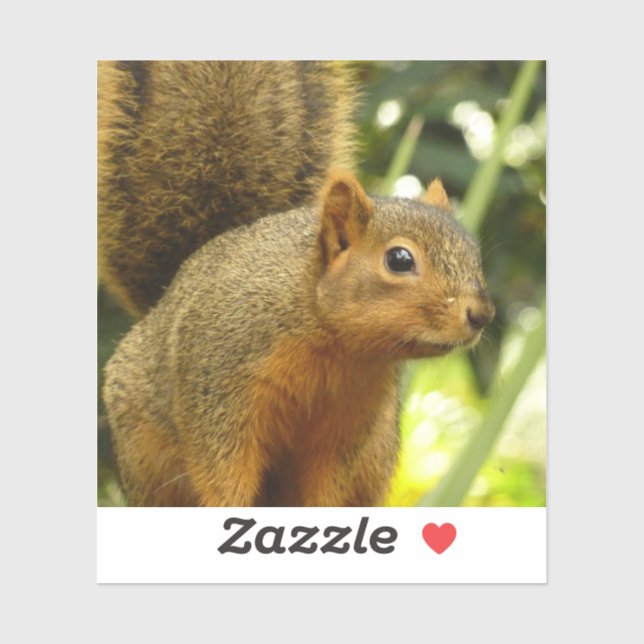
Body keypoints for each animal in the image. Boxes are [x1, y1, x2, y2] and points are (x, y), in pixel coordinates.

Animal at [99, 61, 495, 507]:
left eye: (473, 252)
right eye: (399, 259)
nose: (481, 314)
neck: (333, 343)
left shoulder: (348, 427)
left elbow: (326, 485)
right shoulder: (218, 386)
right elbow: (221, 472)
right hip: (144, 453)